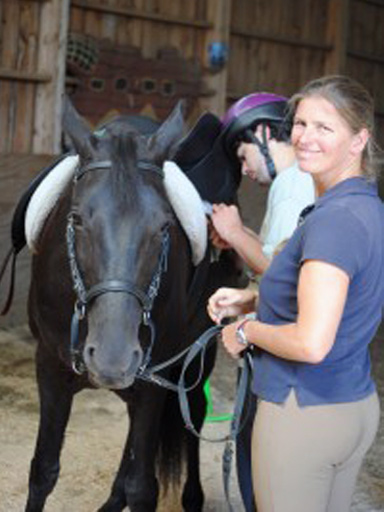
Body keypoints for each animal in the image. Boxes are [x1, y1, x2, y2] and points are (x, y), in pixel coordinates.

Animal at [23, 100, 240, 512]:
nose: (113, 358)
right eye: (76, 219)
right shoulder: (49, 368)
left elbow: (143, 487)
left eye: (165, 227)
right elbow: (43, 470)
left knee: (192, 416)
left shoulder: (156, 378)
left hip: (195, 359)